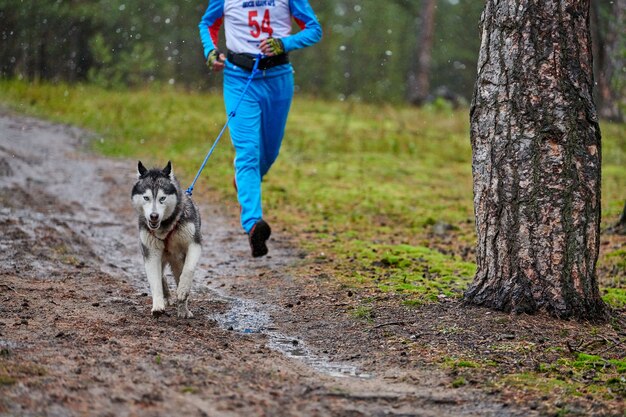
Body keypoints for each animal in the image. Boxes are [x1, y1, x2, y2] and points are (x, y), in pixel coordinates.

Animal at [130, 161, 201, 316]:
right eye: (146, 198)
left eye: (162, 198)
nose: (153, 216)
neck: (165, 228)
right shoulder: (151, 253)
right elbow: (155, 282)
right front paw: (157, 305)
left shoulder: (194, 243)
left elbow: (188, 270)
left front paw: (183, 290)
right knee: (161, 276)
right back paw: (167, 297)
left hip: (177, 261)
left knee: (179, 274)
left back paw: (183, 309)